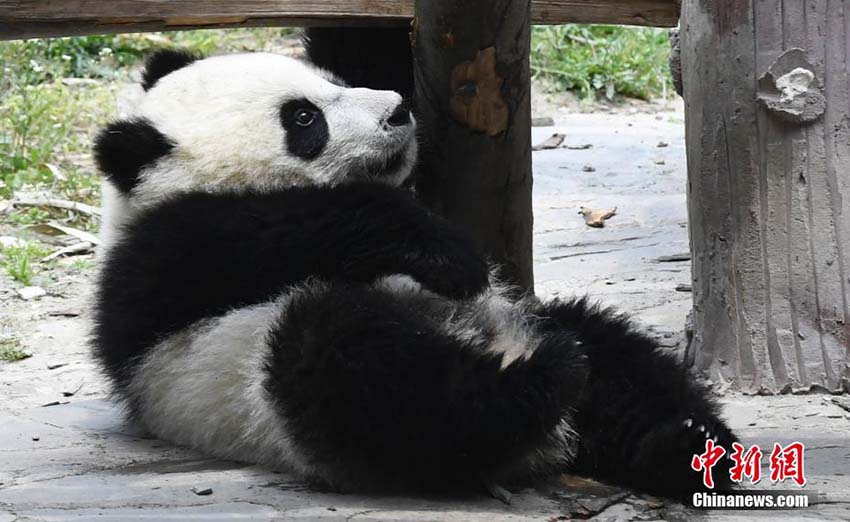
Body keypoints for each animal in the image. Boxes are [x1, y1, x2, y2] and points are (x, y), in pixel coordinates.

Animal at [89, 49, 732, 500]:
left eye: (334, 79)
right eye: (304, 118)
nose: (397, 109)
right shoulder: (159, 265)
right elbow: (272, 229)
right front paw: (450, 257)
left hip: (527, 316)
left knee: (615, 357)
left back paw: (687, 446)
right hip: (249, 372)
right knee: (364, 368)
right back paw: (536, 380)